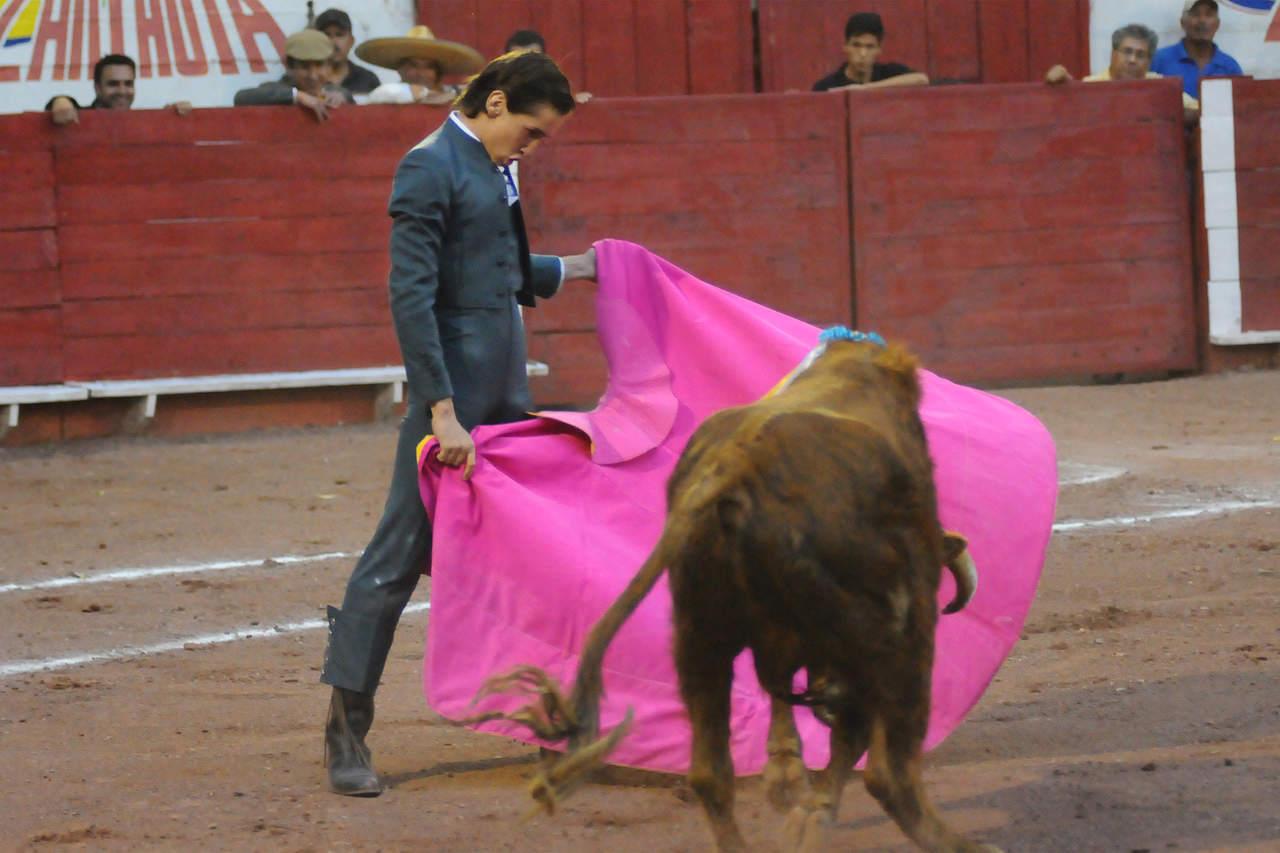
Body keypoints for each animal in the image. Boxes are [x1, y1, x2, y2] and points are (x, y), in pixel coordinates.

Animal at [471, 330, 998, 850]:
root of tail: (736, 465)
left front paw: (794, 794)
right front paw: (806, 809)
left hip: (699, 637)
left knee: (711, 772)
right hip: (888, 636)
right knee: (885, 766)